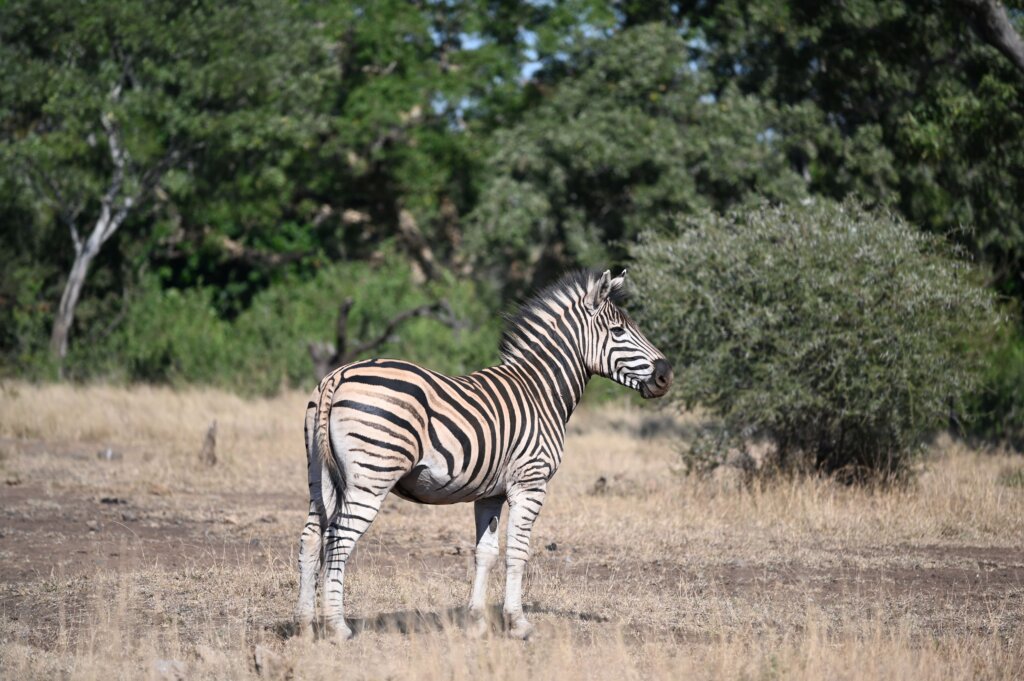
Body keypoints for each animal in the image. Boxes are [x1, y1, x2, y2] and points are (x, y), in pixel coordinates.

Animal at [292, 268, 671, 639]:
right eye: (618, 330)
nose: (666, 375)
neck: (541, 391)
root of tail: (338, 375)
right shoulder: (530, 484)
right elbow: (518, 552)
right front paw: (518, 623)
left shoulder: (490, 494)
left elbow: (485, 553)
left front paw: (476, 622)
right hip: (371, 477)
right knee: (338, 539)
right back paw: (338, 627)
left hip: (320, 476)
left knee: (311, 538)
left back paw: (305, 625)